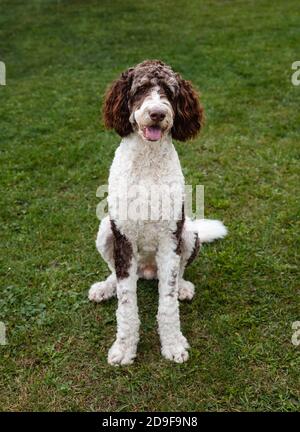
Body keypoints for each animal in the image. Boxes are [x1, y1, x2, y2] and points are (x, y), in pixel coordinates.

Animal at [89, 60, 227, 364]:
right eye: (140, 89)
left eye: (170, 92)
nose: (157, 113)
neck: (147, 162)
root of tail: (148, 271)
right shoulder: (124, 237)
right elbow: (126, 303)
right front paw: (124, 347)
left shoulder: (169, 238)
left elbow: (168, 302)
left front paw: (173, 343)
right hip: (106, 231)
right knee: (115, 271)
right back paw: (106, 286)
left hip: (188, 233)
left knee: (180, 270)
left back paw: (183, 287)